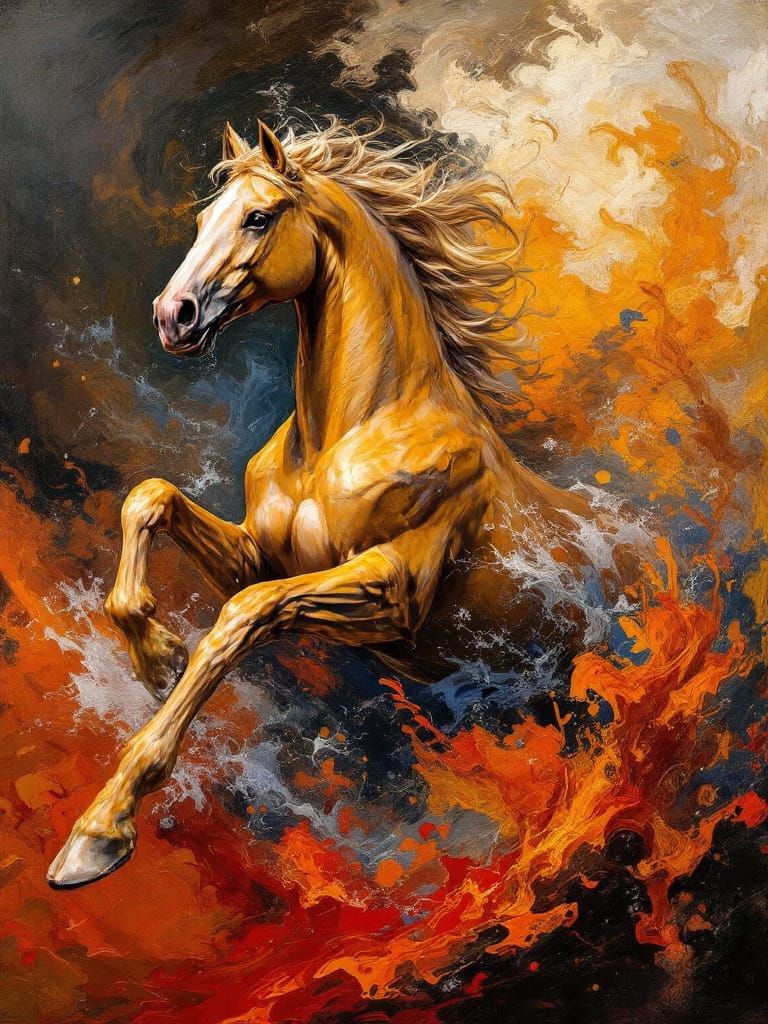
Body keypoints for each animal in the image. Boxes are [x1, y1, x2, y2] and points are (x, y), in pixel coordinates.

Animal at [48, 119, 644, 888]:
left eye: (259, 217)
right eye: (204, 220)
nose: (172, 317)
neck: (354, 429)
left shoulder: (393, 591)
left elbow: (243, 615)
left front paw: (100, 832)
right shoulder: (260, 555)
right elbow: (150, 499)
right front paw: (155, 656)